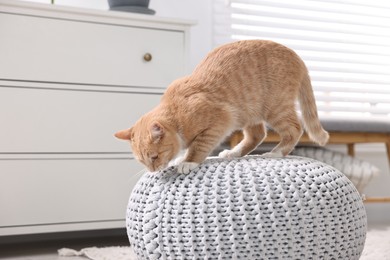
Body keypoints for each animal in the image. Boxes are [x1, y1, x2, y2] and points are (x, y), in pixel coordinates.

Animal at [116, 40, 330, 174]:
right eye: (142, 161)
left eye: (154, 156)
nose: (152, 171)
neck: (177, 113)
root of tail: (297, 57)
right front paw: (180, 157)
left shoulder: (220, 120)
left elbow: (199, 146)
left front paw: (188, 161)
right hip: (249, 111)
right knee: (257, 135)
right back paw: (233, 152)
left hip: (275, 108)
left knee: (295, 129)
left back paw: (276, 152)